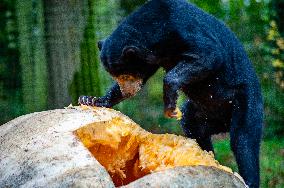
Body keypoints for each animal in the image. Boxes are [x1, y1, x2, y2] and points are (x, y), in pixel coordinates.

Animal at [79, 0, 262, 187]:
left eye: (125, 75)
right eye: (114, 76)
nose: (127, 91)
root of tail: (223, 123)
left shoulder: (184, 30)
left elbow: (209, 55)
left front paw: (170, 106)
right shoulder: (151, 58)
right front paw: (92, 99)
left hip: (244, 101)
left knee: (243, 140)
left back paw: (247, 180)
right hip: (200, 113)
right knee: (193, 126)